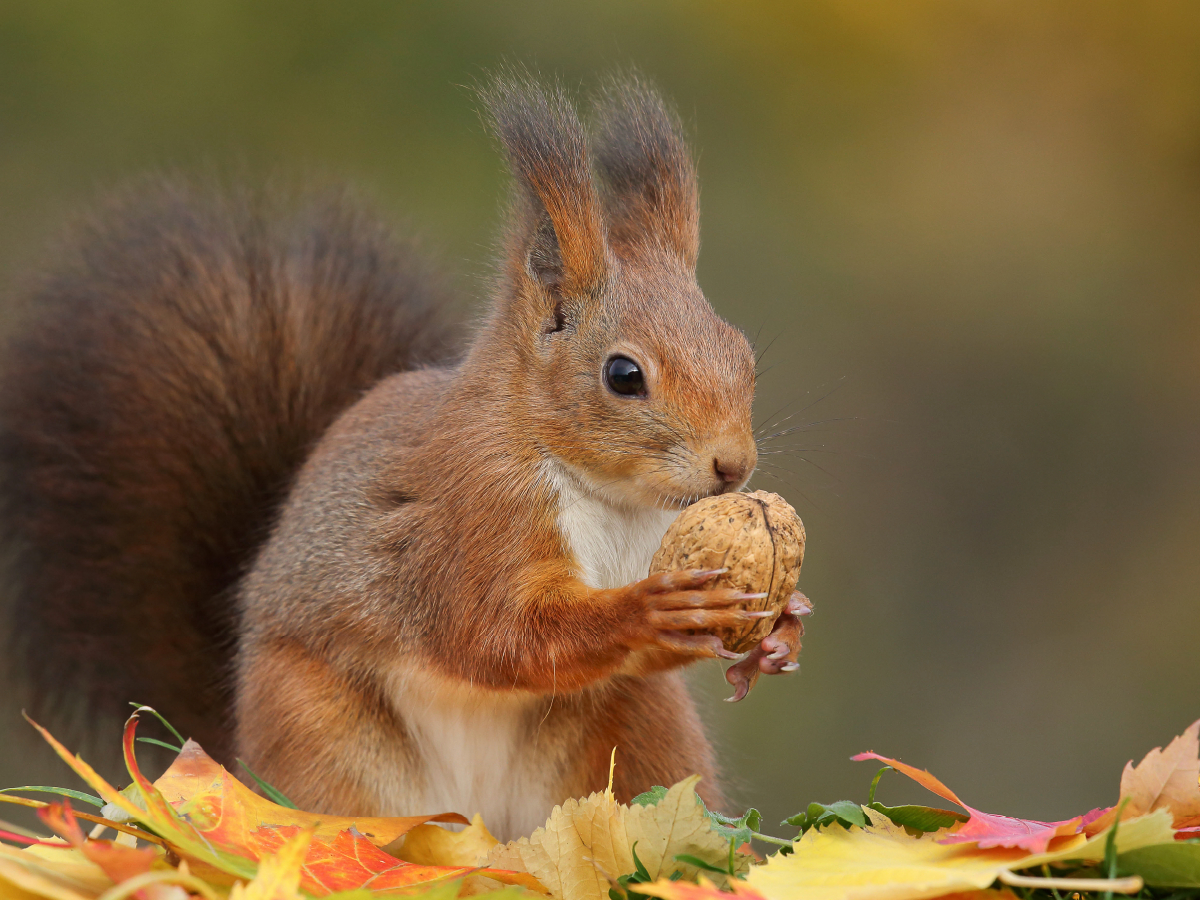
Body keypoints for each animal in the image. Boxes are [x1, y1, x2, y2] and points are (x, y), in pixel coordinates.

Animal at [2, 74, 806, 844]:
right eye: (624, 375)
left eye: (741, 353)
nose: (733, 468)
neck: (607, 497)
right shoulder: (473, 517)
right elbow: (498, 635)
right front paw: (648, 609)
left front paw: (783, 628)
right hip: (319, 736)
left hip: (639, 731)